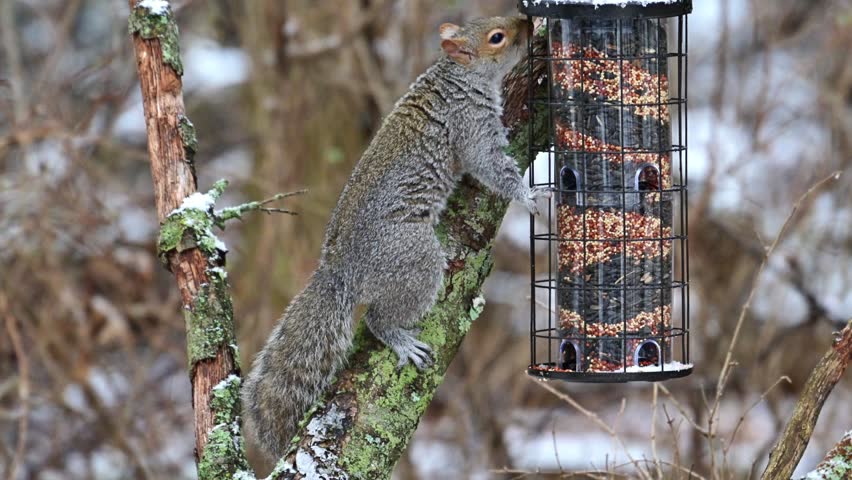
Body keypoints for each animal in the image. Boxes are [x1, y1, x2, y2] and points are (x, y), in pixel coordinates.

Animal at [242, 16, 545, 460]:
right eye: (497, 37)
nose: (528, 21)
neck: (458, 78)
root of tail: (339, 272)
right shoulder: (469, 127)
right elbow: (490, 166)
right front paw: (530, 196)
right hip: (412, 257)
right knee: (377, 318)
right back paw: (401, 340)